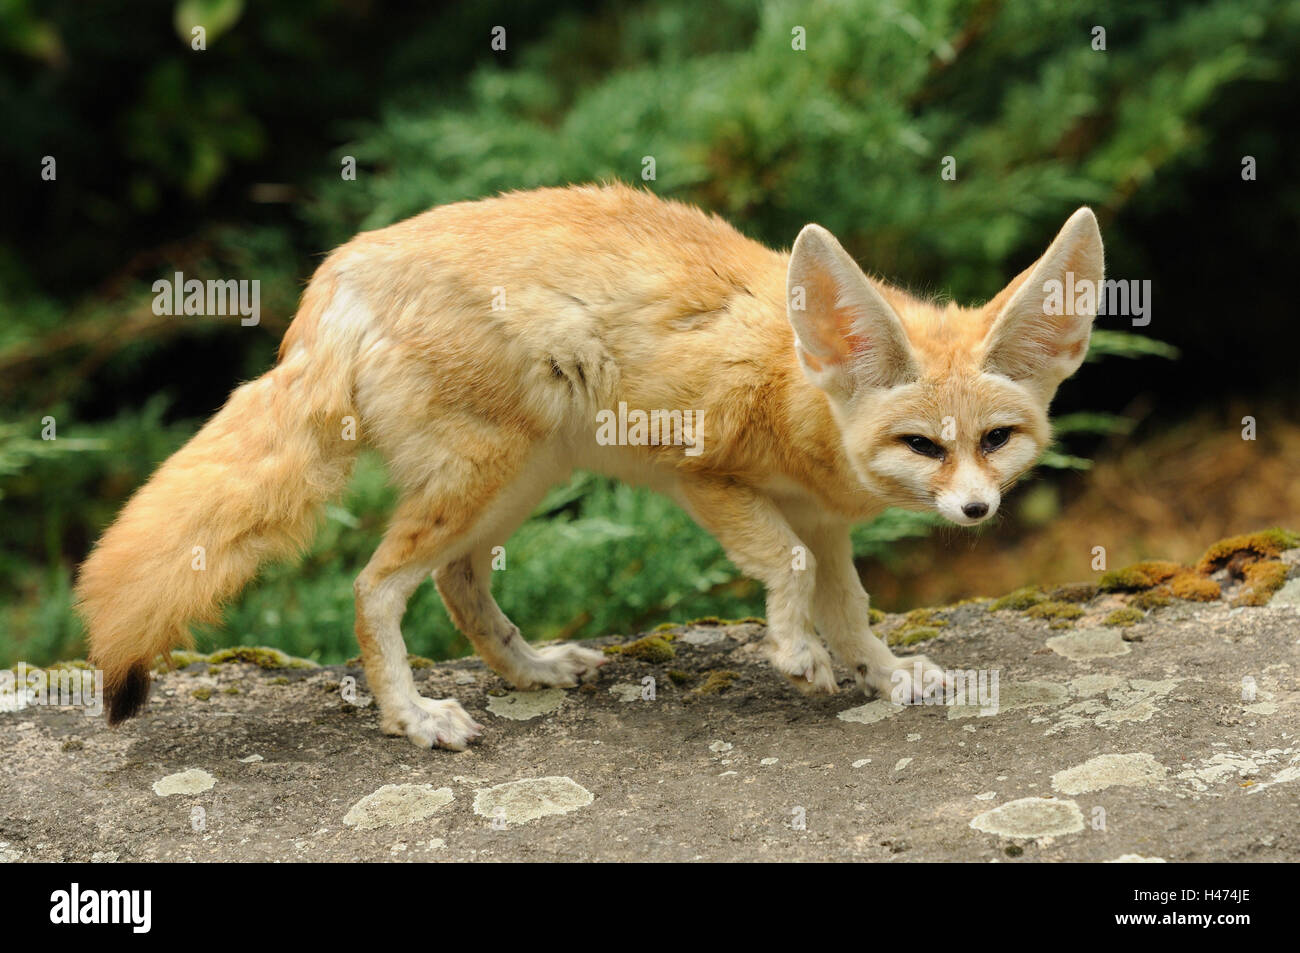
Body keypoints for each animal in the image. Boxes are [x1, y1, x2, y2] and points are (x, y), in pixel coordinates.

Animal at [76, 182, 1102, 748]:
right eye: (923, 444)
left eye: (996, 440)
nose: (975, 512)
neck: (795, 385)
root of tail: (340, 270)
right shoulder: (708, 480)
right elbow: (789, 574)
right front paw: (796, 654)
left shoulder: (823, 520)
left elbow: (851, 607)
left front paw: (885, 676)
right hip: (484, 478)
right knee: (375, 588)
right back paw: (411, 717)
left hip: (515, 482)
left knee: (454, 583)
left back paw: (530, 668)